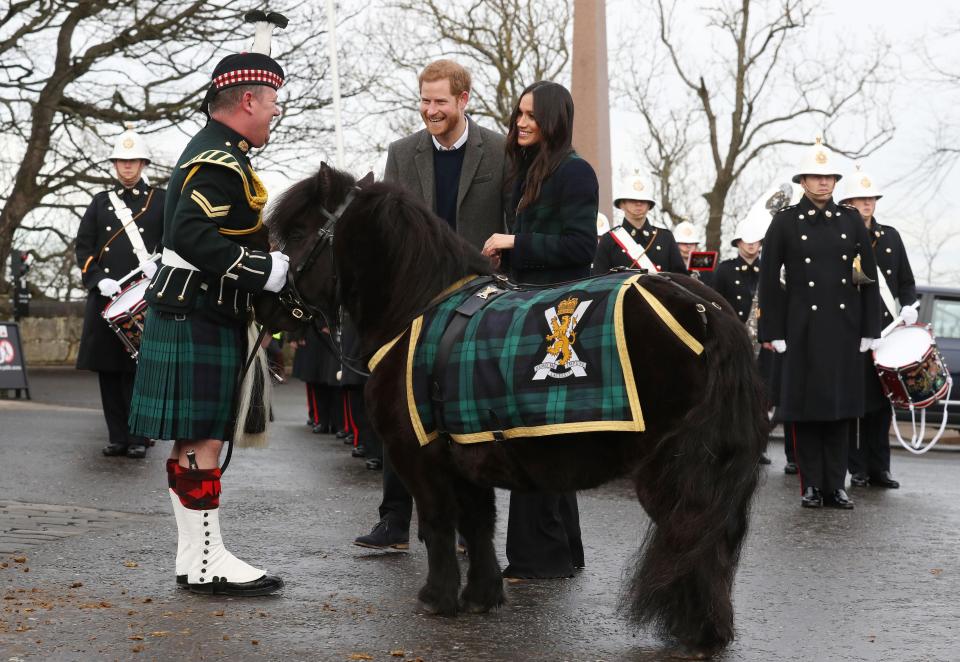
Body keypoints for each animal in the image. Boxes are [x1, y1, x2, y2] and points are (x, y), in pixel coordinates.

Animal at [260, 163, 764, 656]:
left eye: (299, 231)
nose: (269, 305)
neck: (417, 309)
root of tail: (704, 308)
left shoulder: (417, 454)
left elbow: (439, 521)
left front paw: (437, 597)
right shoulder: (467, 448)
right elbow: (478, 522)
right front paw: (481, 595)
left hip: (668, 468)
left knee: (692, 534)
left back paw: (697, 631)